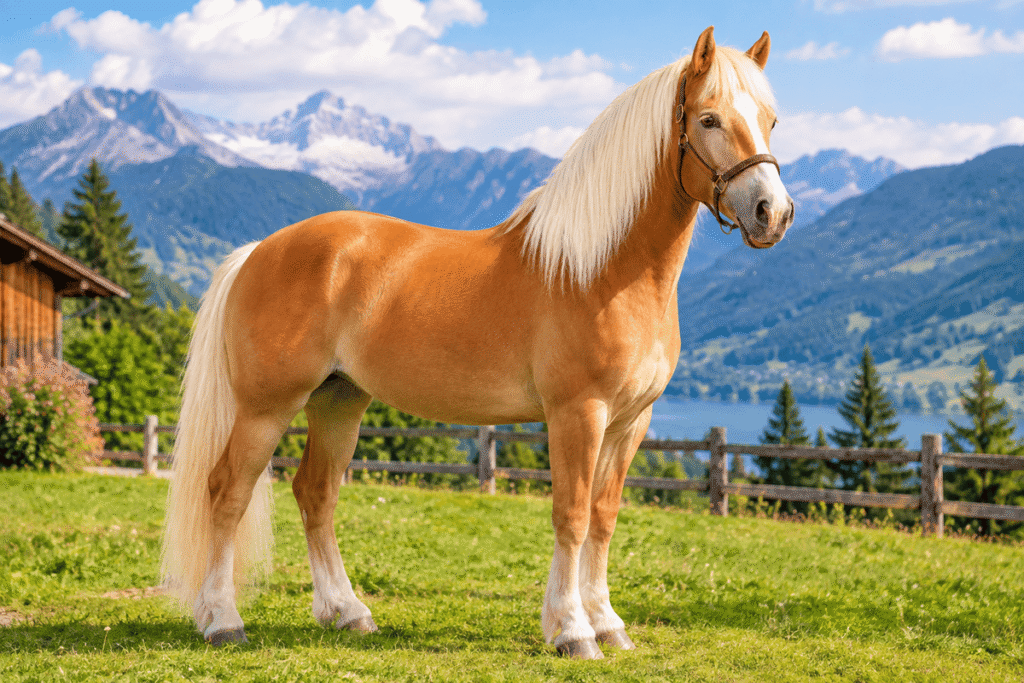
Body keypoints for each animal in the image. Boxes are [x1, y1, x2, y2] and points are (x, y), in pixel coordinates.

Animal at [161, 26, 793, 660]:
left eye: (770, 119)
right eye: (708, 119)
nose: (774, 213)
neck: (603, 271)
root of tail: (259, 251)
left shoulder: (630, 422)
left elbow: (605, 516)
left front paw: (608, 624)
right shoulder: (578, 413)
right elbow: (571, 516)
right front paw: (572, 631)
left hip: (339, 400)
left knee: (316, 494)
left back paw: (347, 613)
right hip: (265, 407)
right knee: (227, 492)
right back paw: (223, 620)